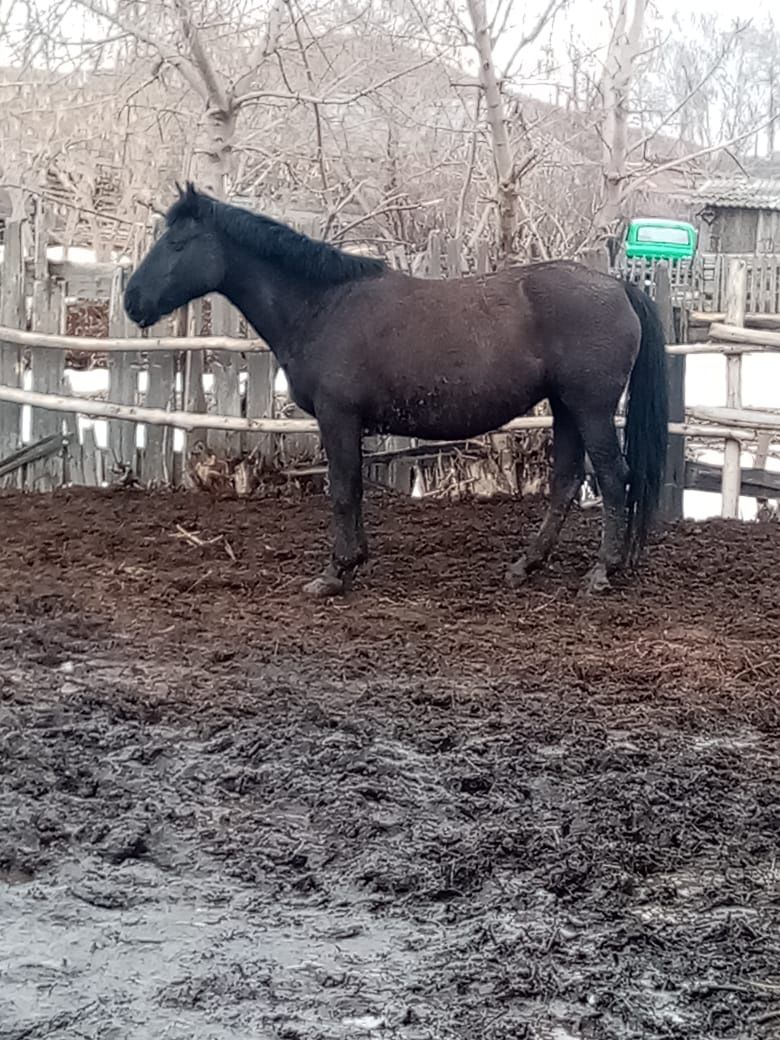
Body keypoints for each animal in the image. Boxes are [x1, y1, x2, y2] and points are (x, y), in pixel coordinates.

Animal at [125, 183, 669, 599]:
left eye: (178, 243)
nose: (133, 301)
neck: (323, 305)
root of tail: (618, 286)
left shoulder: (337, 417)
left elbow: (343, 491)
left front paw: (334, 572)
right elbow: (354, 490)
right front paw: (353, 561)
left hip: (591, 408)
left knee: (613, 478)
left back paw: (601, 572)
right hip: (565, 407)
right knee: (566, 482)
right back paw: (526, 565)